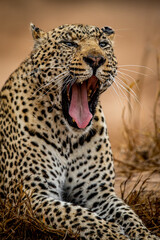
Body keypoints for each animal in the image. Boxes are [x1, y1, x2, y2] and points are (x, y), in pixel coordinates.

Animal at [0, 23, 159, 240]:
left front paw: (145, 235)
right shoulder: (30, 195)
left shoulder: (98, 192)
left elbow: (129, 214)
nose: (96, 59)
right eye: (69, 43)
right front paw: (114, 234)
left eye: (103, 44)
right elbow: (77, 214)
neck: (68, 136)